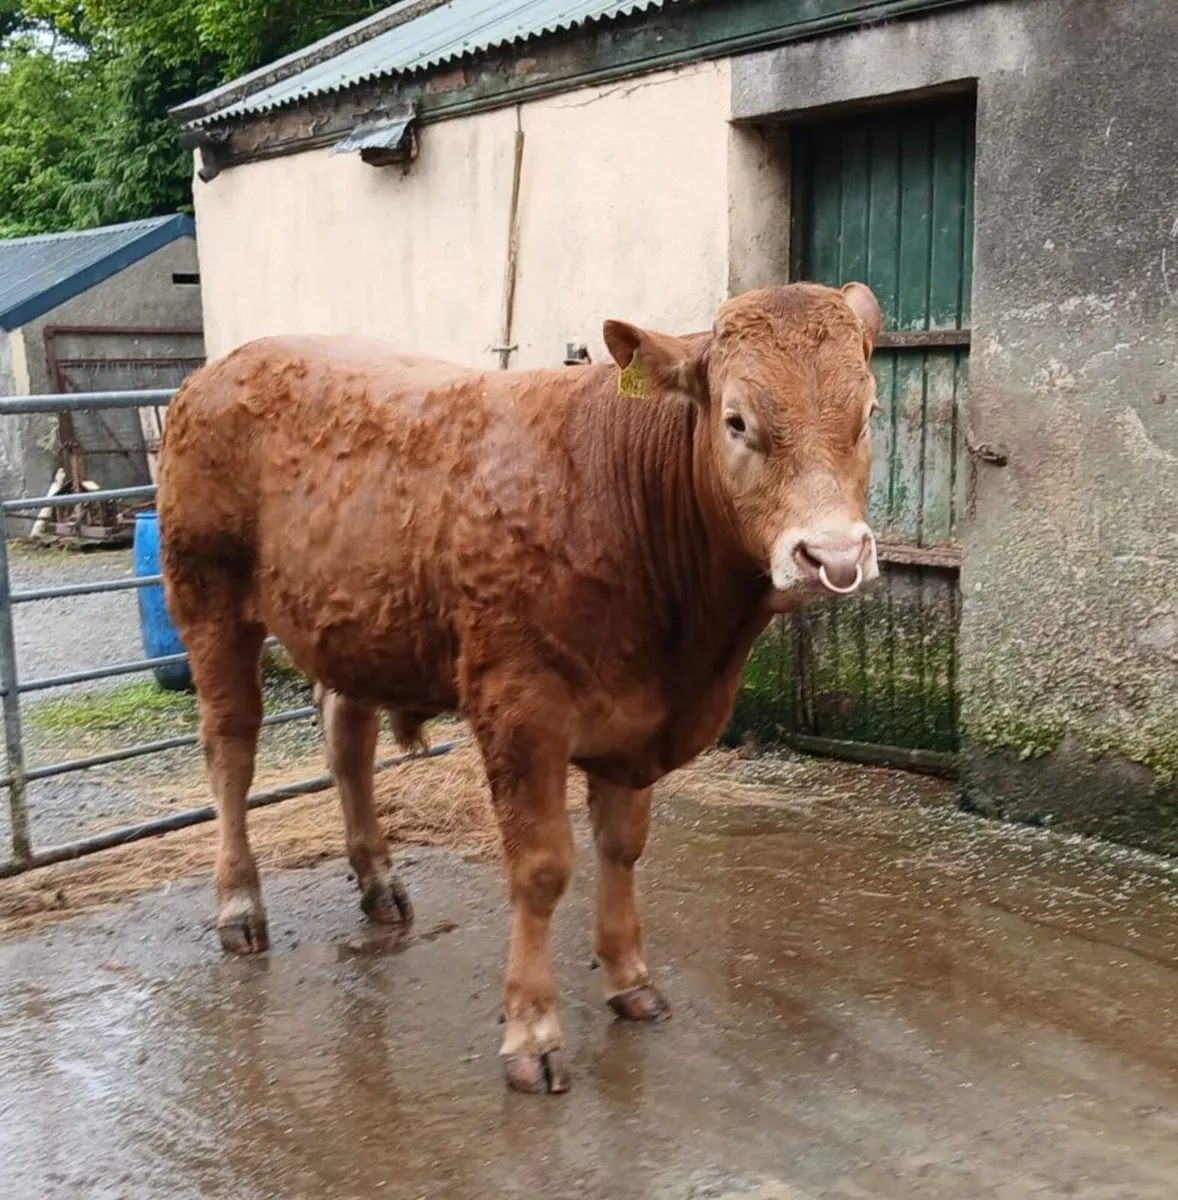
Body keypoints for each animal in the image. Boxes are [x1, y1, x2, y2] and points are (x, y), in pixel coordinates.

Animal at [156, 281, 882, 1095]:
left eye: (868, 413)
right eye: (737, 420)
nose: (835, 556)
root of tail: (220, 368)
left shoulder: (636, 717)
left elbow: (622, 849)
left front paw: (630, 978)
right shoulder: (519, 709)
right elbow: (541, 869)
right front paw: (531, 1029)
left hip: (353, 623)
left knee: (347, 743)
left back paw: (378, 882)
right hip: (206, 596)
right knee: (230, 748)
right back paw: (239, 906)